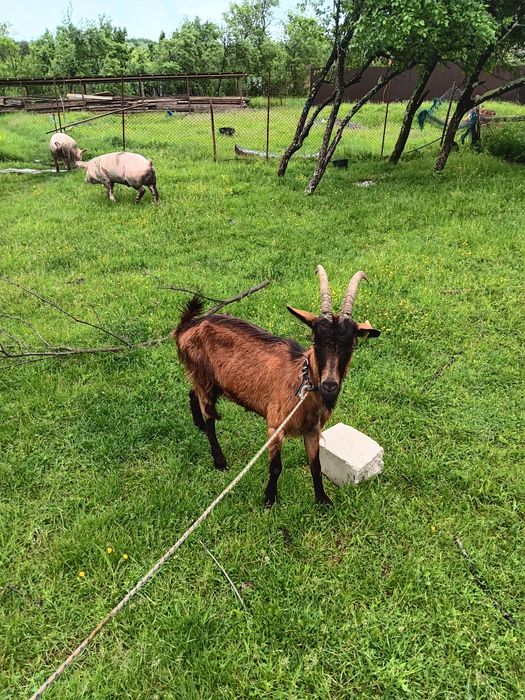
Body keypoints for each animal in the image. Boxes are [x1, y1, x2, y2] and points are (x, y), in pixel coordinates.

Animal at [174, 267, 380, 506]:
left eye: (352, 344)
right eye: (315, 340)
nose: (329, 384)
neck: (301, 383)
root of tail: (186, 326)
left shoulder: (313, 430)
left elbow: (315, 466)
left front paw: (322, 500)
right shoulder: (275, 426)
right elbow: (276, 467)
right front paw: (269, 500)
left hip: (205, 379)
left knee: (192, 393)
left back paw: (197, 424)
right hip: (205, 378)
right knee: (210, 418)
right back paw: (219, 460)